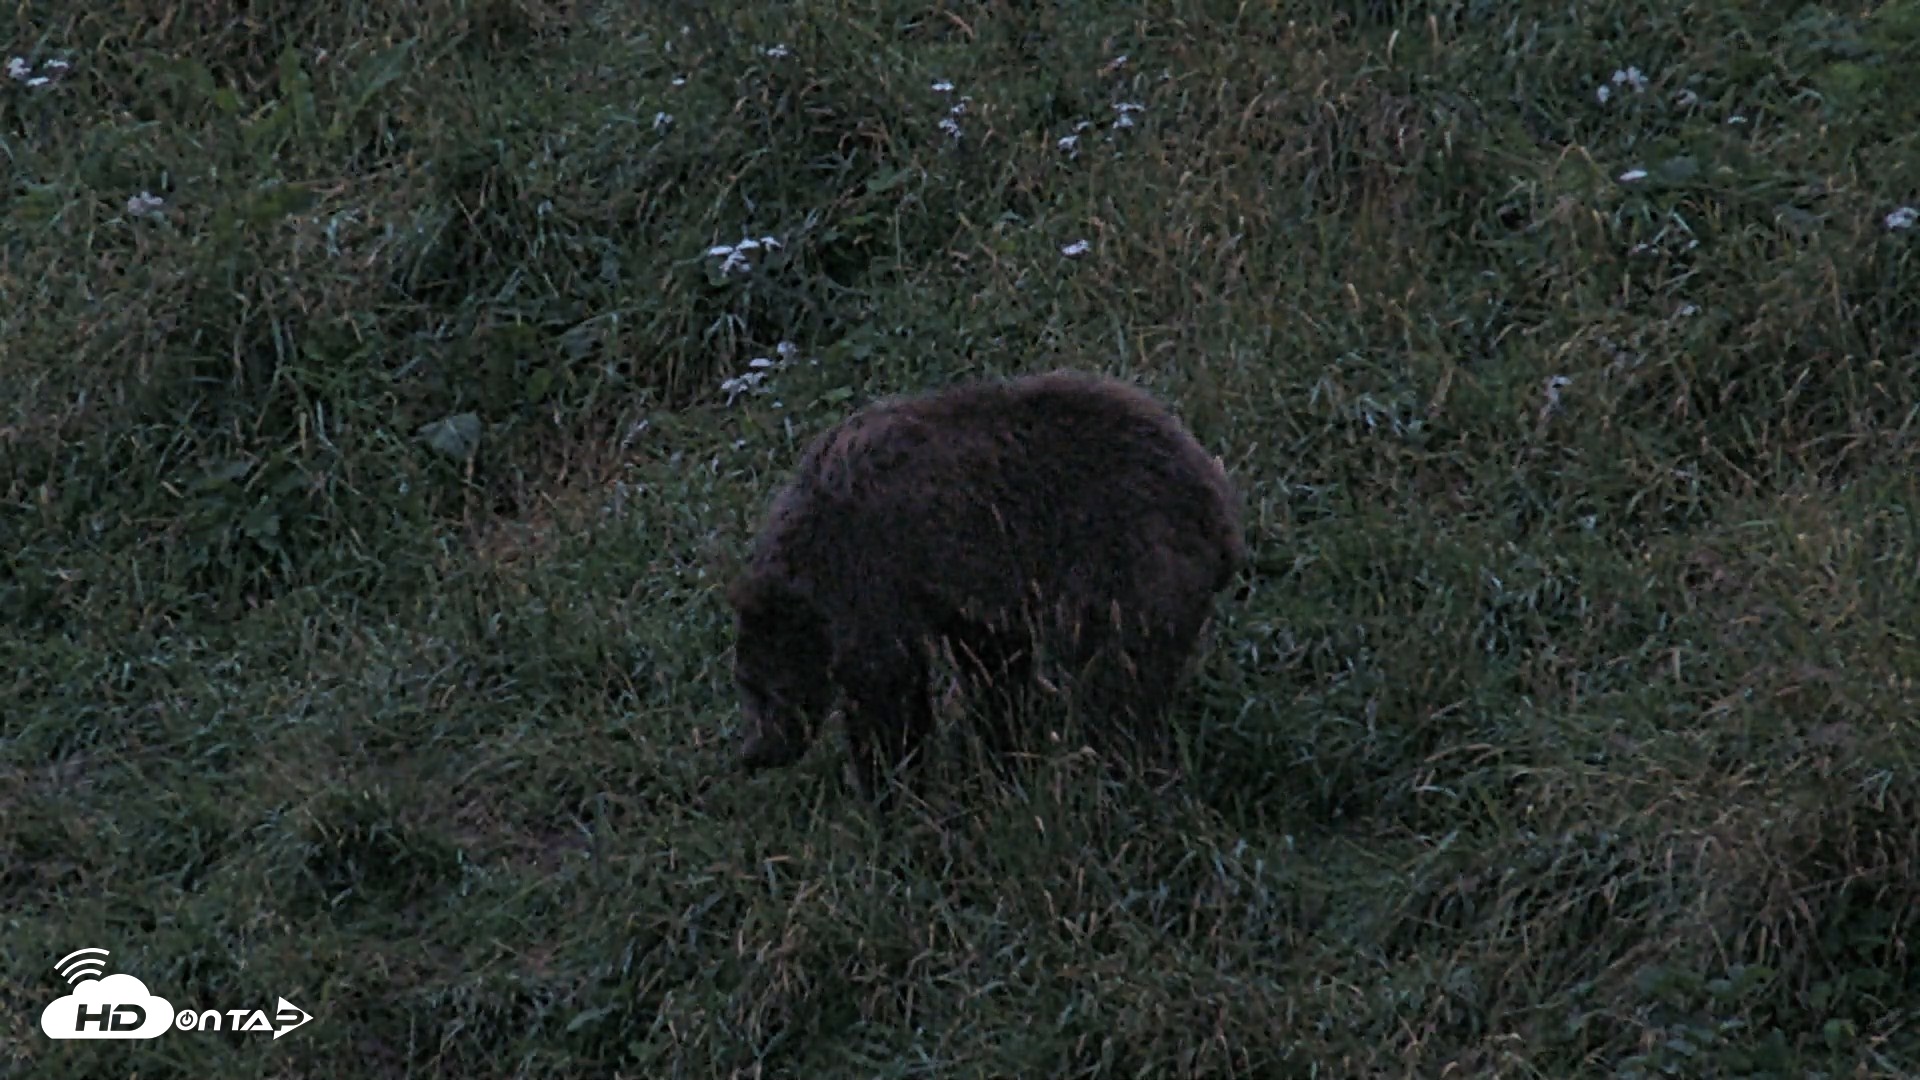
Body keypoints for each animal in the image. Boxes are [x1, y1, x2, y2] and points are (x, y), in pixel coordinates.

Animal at [726, 369, 1245, 802]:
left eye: (757, 685)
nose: (754, 752)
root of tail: (1220, 506)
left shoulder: (872, 568)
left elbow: (887, 686)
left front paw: (888, 783)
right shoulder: (968, 592)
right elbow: (993, 665)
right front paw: (1003, 744)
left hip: (1127, 559)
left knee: (1119, 675)